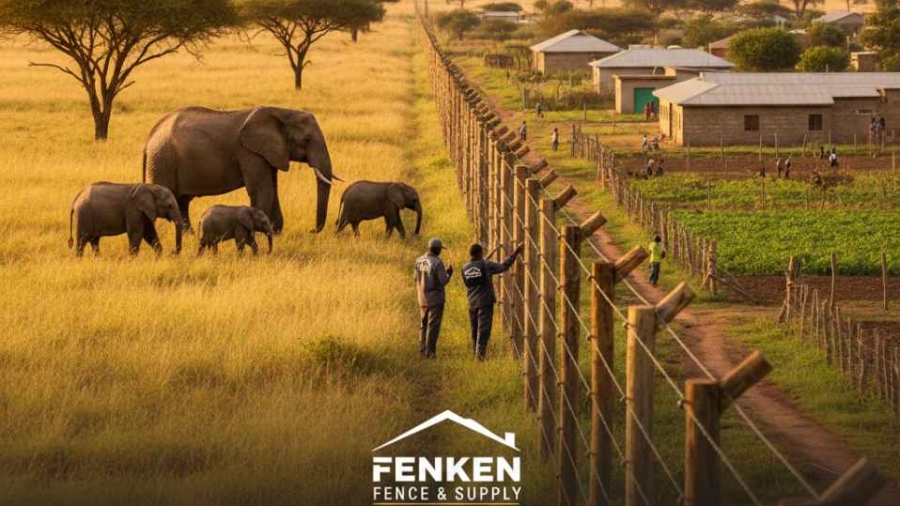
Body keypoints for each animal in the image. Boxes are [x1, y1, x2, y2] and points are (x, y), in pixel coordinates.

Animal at [143, 106, 342, 235]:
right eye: (306, 140)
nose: (312, 230)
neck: (282, 112)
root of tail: (150, 136)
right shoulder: (248, 151)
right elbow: (262, 189)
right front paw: (261, 232)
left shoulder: (268, 152)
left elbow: (272, 188)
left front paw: (276, 231)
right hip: (162, 160)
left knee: (182, 201)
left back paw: (189, 234)